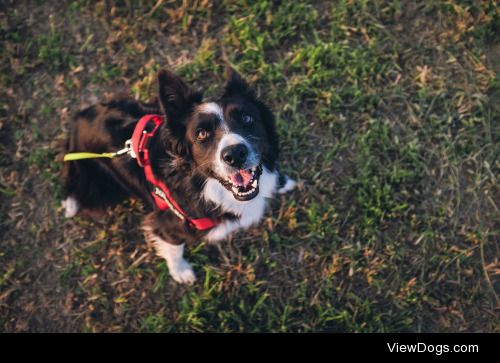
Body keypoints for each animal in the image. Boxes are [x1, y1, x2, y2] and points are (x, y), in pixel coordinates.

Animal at [62, 68, 296, 284]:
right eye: (202, 133)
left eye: (247, 118)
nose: (235, 155)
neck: (201, 183)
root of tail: (76, 123)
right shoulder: (168, 224)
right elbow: (174, 248)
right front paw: (181, 272)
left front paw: (282, 182)